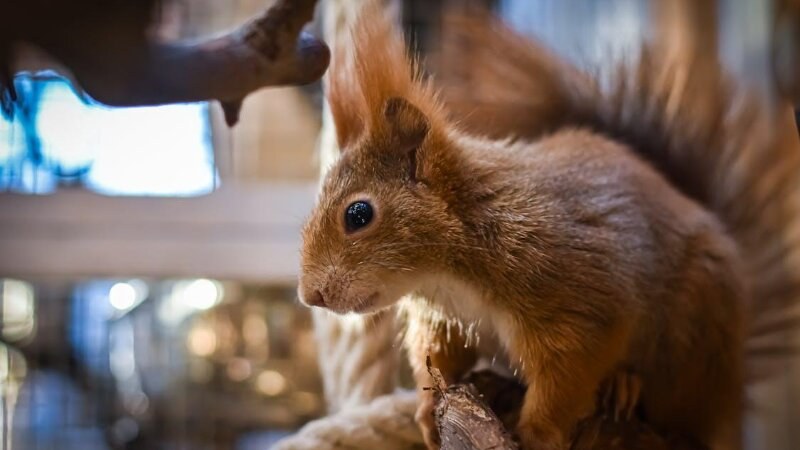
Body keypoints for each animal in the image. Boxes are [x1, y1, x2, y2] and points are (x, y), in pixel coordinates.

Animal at [296, 3, 800, 450]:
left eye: (358, 215)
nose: (310, 295)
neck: (448, 269)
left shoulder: (574, 295)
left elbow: (567, 375)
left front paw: (536, 434)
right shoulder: (445, 319)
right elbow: (440, 360)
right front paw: (425, 411)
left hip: (692, 341)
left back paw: (625, 386)